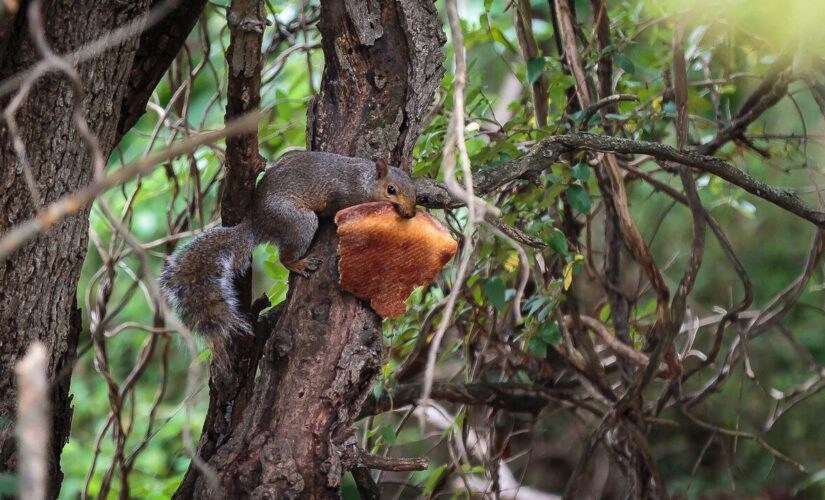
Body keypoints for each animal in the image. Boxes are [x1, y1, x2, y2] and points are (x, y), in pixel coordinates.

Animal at [159, 150, 418, 342]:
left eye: (414, 188)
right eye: (391, 190)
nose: (410, 214)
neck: (363, 181)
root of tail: (257, 223)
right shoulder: (342, 195)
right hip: (298, 221)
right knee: (285, 256)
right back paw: (299, 263)